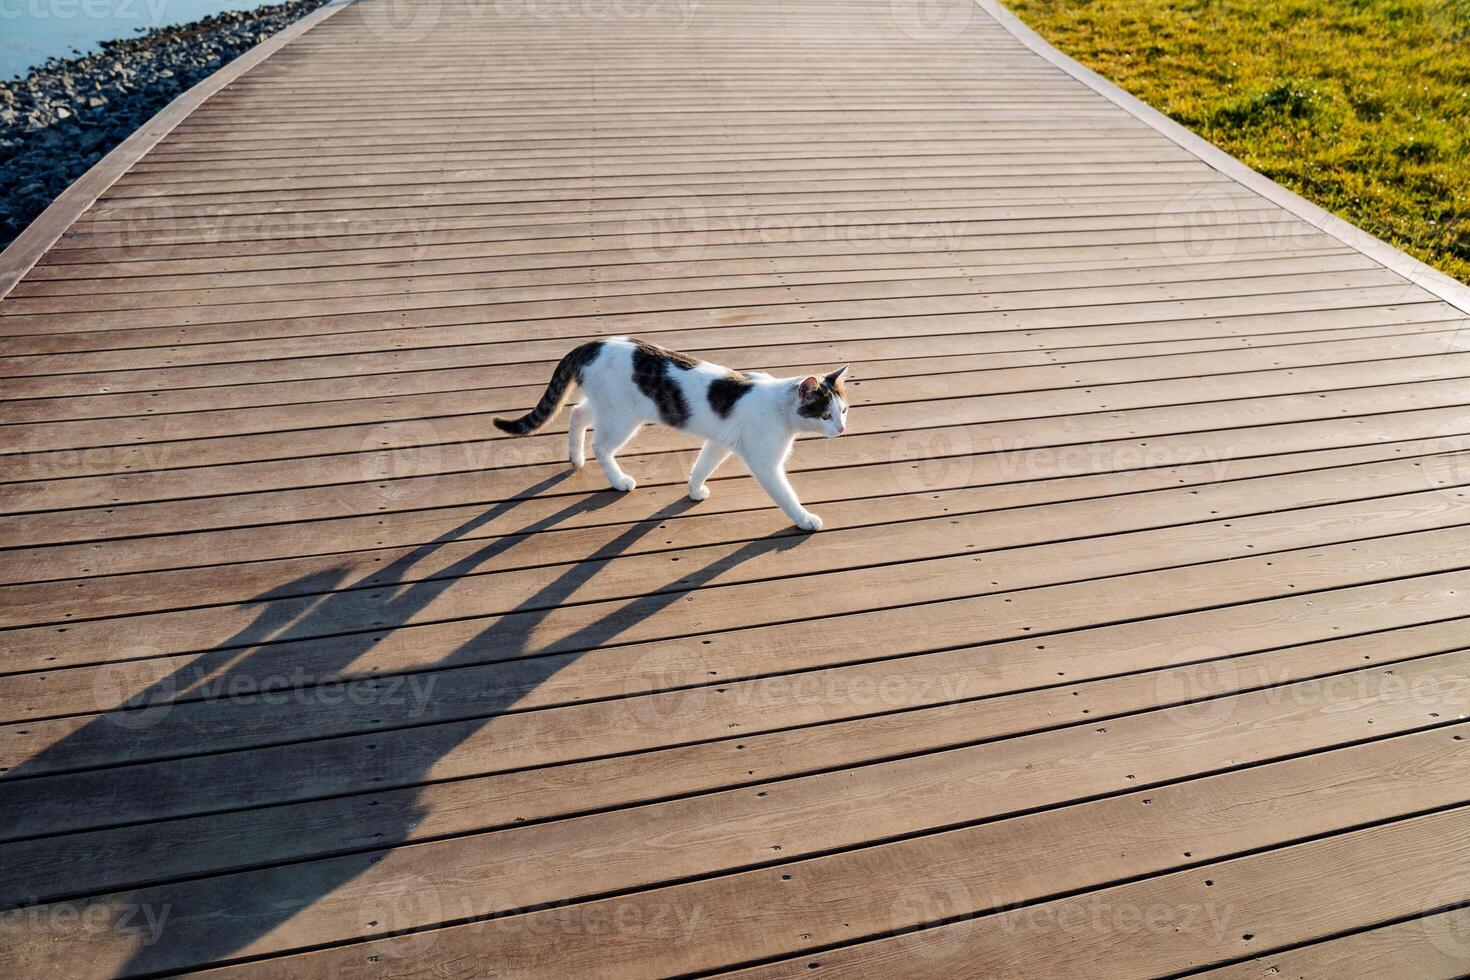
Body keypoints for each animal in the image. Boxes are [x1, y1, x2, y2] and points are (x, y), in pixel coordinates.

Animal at [493, 339, 852, 537]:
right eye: (825, 415)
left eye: (844, 410)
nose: (842, 430)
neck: (779, 405)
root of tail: (592, 345)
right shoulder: (765, 463)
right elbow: (786, 495)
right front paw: (805, 519)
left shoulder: (718, 442)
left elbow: (702, 465)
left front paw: (694, 490)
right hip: (623, 417)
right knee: (600, 444)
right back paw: (618, 480)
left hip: (605, 406)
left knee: (576, 415)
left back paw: (575, 457)